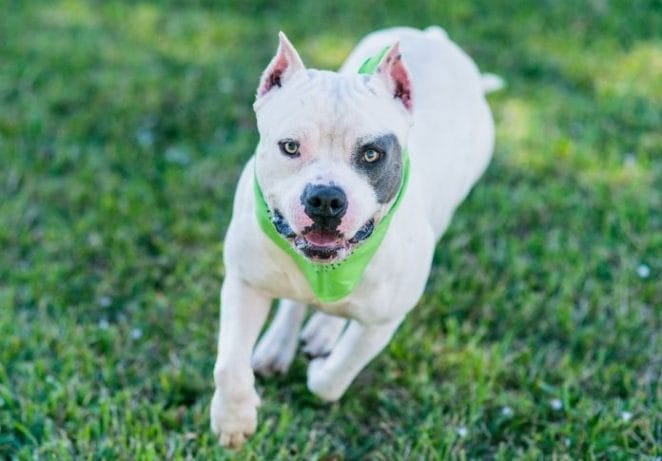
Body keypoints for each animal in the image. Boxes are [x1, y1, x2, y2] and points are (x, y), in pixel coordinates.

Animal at [210, 25, 500, 446]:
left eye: (372, 154)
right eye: (290, 147)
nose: (326, 199)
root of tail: (434, 37)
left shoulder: (382, 323)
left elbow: (335, 377)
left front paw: (320, 369)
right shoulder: (244, 281)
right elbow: (229, 367)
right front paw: (234, 422)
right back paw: (279, 346)